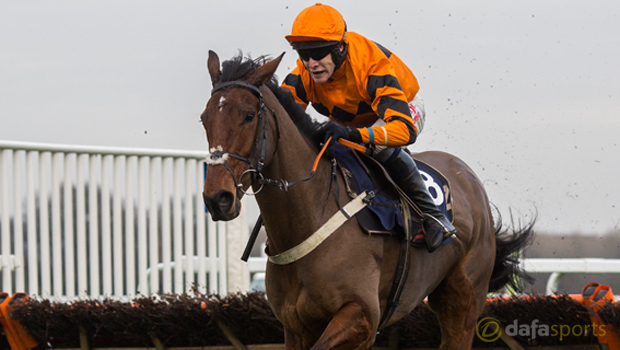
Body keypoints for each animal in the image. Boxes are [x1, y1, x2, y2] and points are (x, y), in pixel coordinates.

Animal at [200, 52, 532, 350]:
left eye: (249, 115)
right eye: (204, 118)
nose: (217, 198)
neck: (310, 216)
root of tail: (468, 176)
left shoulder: (362, 316)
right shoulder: (294, 328)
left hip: (463, 297)